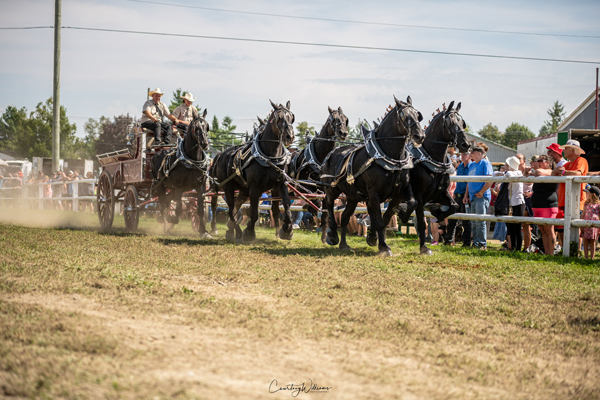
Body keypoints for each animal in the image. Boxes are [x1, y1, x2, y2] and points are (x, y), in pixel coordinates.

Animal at [151, 108, 212, 236]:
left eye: (207, 127)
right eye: (195, 127)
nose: (204, 143)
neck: (192, 161)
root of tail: (156, 153)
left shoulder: (201, 186)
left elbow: (200, 209)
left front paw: (203, 231)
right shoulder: (179, 186)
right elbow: (178, 208)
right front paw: (172, 219)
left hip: (172, 188)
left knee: (167, 201)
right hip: (160, 185)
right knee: (162, 203)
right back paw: (164, 224)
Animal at [210, 101, 296, 242]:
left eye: (291, 118)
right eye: (278, 118)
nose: (290, 136)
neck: (270, 157)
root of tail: (220, 155)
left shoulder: (280, 185)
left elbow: (287, 206)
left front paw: (287, 230)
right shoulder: (255, 188)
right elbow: (254, 212)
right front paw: (249, 232)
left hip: (243, 189)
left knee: (236, 207)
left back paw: (230, 230)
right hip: (228, 187)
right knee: (230, 209)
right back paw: (237, 232)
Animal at [288, 106, 350, 242]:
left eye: (345, 119)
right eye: (333, 119)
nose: (343, 133)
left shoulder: (326, 189)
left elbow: (326, 212)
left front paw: (324, 237)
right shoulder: (302, 185)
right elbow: (315, 202)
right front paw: (309, 208)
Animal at [322, 95, 424, 255]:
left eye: (417, 115)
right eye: (404, 116)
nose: (419, 136)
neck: (390, 157)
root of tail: (331, 153)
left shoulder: (401, 191)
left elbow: (405, 207)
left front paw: (400, 215)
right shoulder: (374, 194)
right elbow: (379, 221)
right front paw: (383, 246)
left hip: (352, 196)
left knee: (344, 217)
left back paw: (344, 244)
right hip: (332, 189)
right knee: (329, 205)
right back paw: (332, 235)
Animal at [396, 101, 472, 255]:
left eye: (462, 122)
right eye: (450, 122)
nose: (466, 144)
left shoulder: (440, 194)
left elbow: (454, 206)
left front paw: (437, 212)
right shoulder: (419, 198)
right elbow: (421, 224)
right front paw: (424, 248)